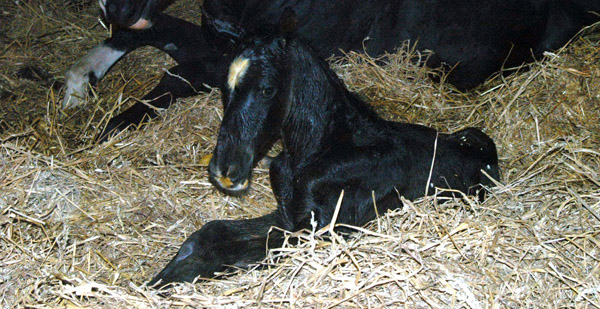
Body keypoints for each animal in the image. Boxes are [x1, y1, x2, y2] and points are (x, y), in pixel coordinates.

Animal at [149, 35, 502, 288]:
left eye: (266, 89)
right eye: (226, 88)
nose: (225, 170)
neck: (322, 147)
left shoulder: (318, 229)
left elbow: (235, 251)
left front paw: (175, 277)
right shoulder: (287, 214)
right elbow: (212, 232)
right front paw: (163, 274)